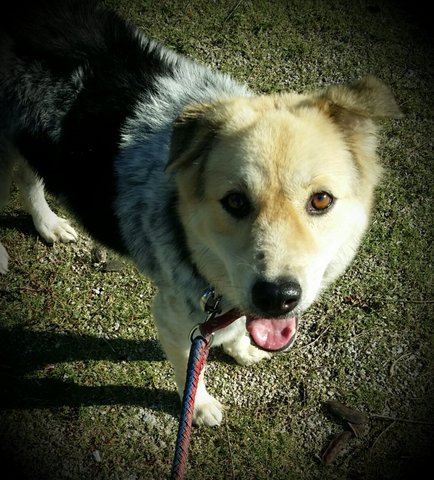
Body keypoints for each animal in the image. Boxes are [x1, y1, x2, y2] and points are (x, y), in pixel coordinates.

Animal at [0, 0, 402, 428]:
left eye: (321, 201)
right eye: (235, 202)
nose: (277, 297)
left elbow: (237, 326)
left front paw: (241, 348)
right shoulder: (174, 317)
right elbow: (187, 368)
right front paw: (199, 406)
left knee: (29, 175)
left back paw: (48, 225)